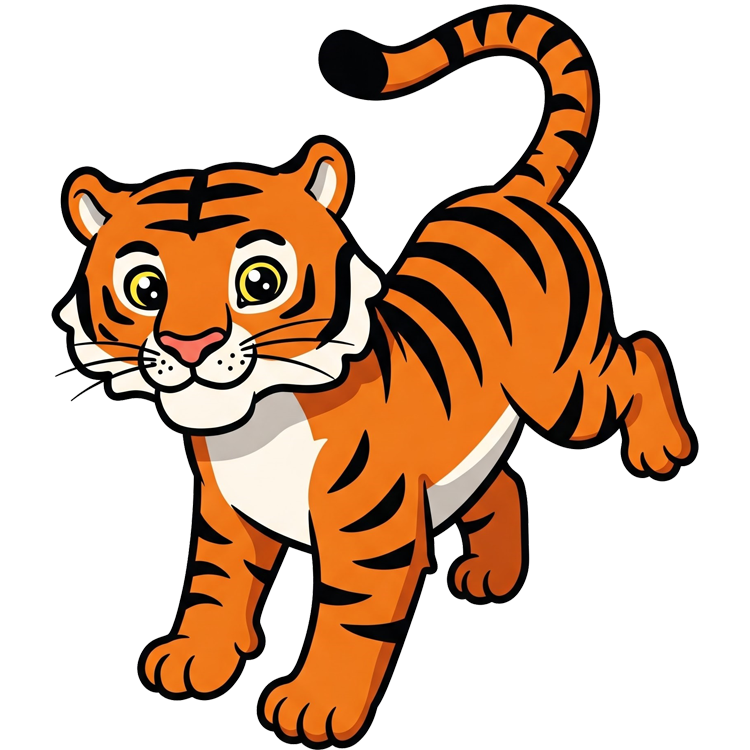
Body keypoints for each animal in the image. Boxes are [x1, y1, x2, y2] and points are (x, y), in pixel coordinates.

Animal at [54, 5, 696, 746]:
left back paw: (662, 449)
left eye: (259, 281)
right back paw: (491, 576)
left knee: (642, 354)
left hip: (565, 389)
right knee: (504, 480)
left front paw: (316, 707)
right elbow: (213, 585)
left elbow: (350, 623)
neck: (257, 421)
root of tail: (508, 193)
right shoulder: (228, 514)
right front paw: (196, 657)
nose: (190, 345)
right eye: (145, 288)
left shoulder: (370, 536)